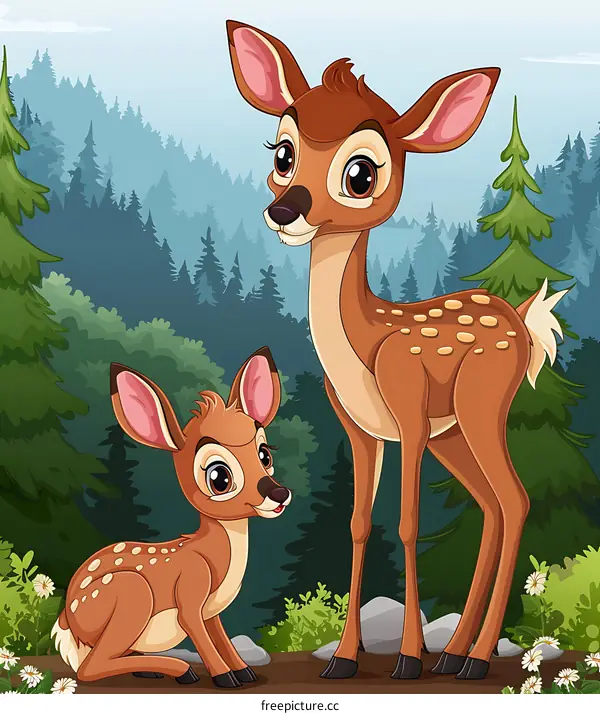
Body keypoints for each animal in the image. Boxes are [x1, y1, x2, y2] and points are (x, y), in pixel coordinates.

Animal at [52, 347, 291, 688]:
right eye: (219, 477)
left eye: (265, 454)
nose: (279, 493)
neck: (214, 556)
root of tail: (67, 619)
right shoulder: (190, 591)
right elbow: (201, 637)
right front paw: (225, 678)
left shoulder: (211, 611)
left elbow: (221, 637)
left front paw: (244, 671)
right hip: (130, 593)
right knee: (88, 668)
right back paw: (179, 670)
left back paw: (151, 669)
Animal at [226, 20, 568, 681]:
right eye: (282, 153)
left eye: (361, 174)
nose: (286, 209)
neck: (364, 344)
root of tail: (521, 321)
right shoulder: (358, 427)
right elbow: (359, 525)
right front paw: (344, 659)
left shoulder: (407, 411)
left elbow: (408, 525)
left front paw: (407, 656)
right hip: (452, 433)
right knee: (492, 506)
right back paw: (455, 653)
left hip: (483, 403)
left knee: (514, 500)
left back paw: (472, 659)